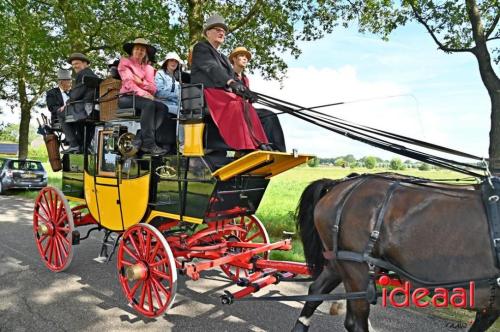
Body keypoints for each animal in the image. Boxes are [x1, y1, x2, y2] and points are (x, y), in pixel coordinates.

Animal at [292, 174, 500, 332]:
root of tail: (342, 185)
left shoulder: (489, 304)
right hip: (356, 269)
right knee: (355, 322)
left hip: (339, 262)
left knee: (316, 291)